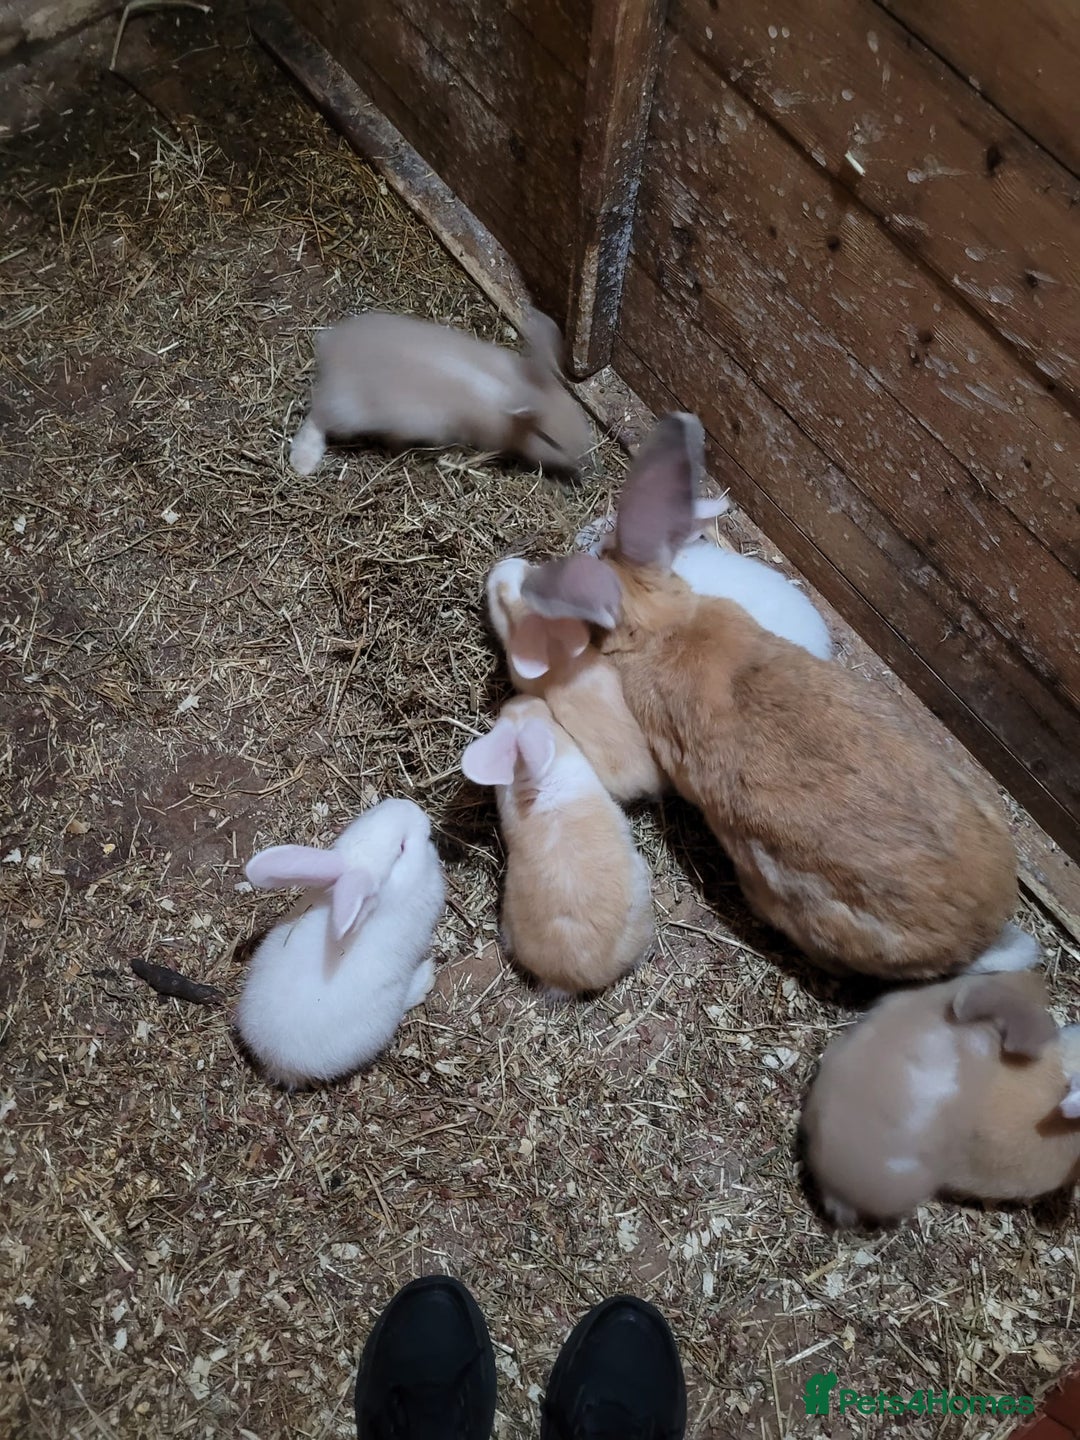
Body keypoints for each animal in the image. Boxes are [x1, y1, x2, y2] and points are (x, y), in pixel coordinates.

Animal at [289, 308, 592, 475]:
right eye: (550, 440)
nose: (580, 459)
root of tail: (331, 349)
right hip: (348, 412)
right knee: (318, 417)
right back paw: (302, 463)